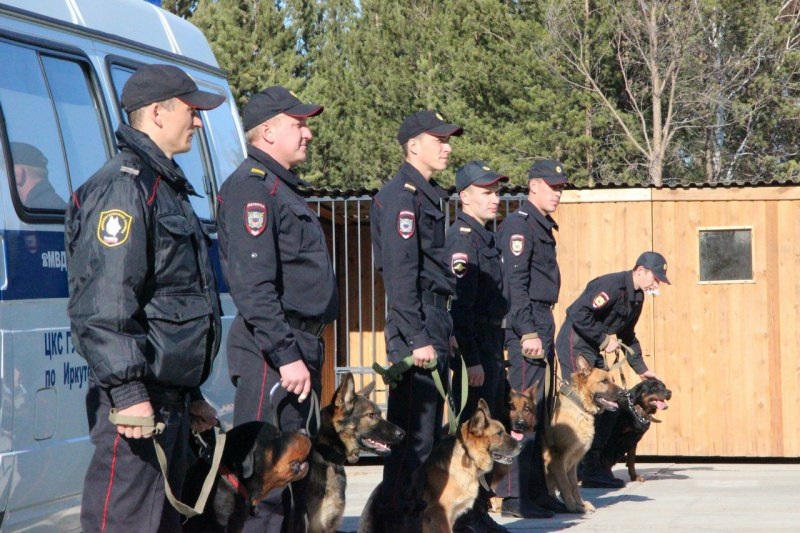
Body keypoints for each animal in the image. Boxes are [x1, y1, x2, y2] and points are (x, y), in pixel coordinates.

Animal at [544, 356, 624, 512]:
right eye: (604, 381)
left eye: (613, 380)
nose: (624, 393)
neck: (579, 405)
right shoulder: (558, 460)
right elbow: (566, 486)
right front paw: (572, 507)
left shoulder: (572, 464)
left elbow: (574, 486)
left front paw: (580, 504)